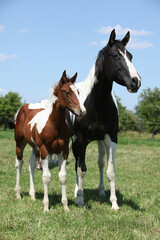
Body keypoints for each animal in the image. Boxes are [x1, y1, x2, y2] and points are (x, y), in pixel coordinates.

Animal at [10, 71, 86, 212]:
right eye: (67, 92)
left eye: (78, 91)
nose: (82, 111)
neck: (54, 124)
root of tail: (23, 108)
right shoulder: (45, 150)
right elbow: (46, 178)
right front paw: (46, 207)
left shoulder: (63, 151)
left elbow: (62, 177)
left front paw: (65, 206)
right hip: (20, 143)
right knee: (19, 164)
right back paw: (18, 193)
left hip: (35, 147)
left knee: (31, 165)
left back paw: (32, 195)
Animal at [66, 29, 141, 210]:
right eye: (115, 56)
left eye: (131, 56)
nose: (136, 81)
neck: (96, 103)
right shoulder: (81, 139)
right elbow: (81, 169)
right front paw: (80, 199)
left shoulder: (111, 138)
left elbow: (110, 171)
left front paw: (114, 203)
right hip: (75, 141)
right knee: (77, 163)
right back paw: (76, 191)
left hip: (100, 141)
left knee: (100, 163)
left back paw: (100, 191)